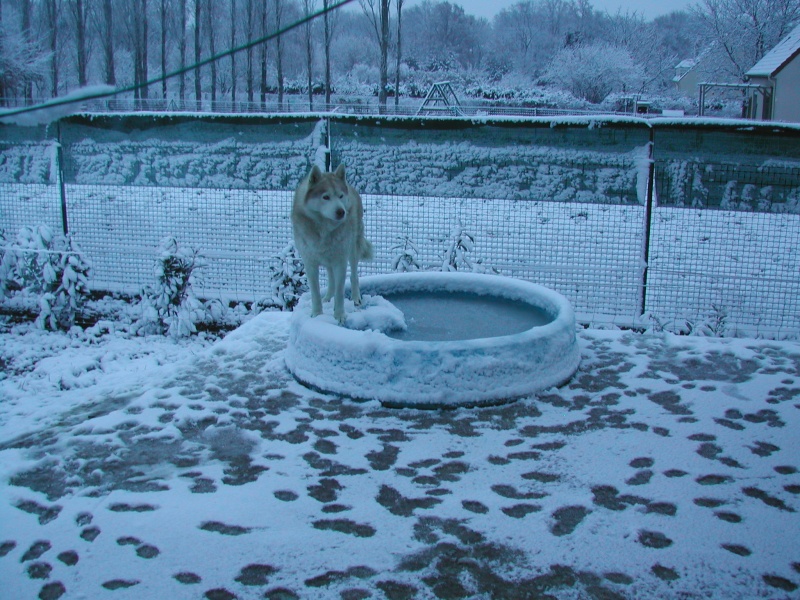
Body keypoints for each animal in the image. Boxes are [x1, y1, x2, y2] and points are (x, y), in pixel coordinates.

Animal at [292, 163, 374, 324]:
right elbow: (315, 292)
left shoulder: (340, 262)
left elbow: (340, 291)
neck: (324, 229)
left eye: (340, 196)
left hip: (352, 251)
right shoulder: (310, 263)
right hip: (329, 259)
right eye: (325, 197)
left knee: (353, 276)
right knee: (331, 280)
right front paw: (317, 314)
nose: (341, 212)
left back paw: (356, 298)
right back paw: (328, 298)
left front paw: (340, 315)